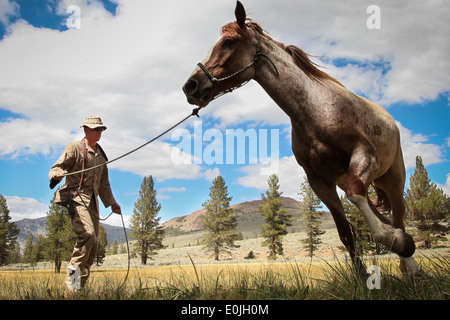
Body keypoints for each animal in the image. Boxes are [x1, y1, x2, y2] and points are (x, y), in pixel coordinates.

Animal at [182, 1, 418, 278]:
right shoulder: (319, 181)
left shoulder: (364, 155)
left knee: (399, 215)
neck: (317, 111)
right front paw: (361, 277)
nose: (190, 86)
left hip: (393, 178)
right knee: (383, 215)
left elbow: (357, 195)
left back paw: (409, 267)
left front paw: (398, 242)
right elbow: (346, 233)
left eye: (228, 42)